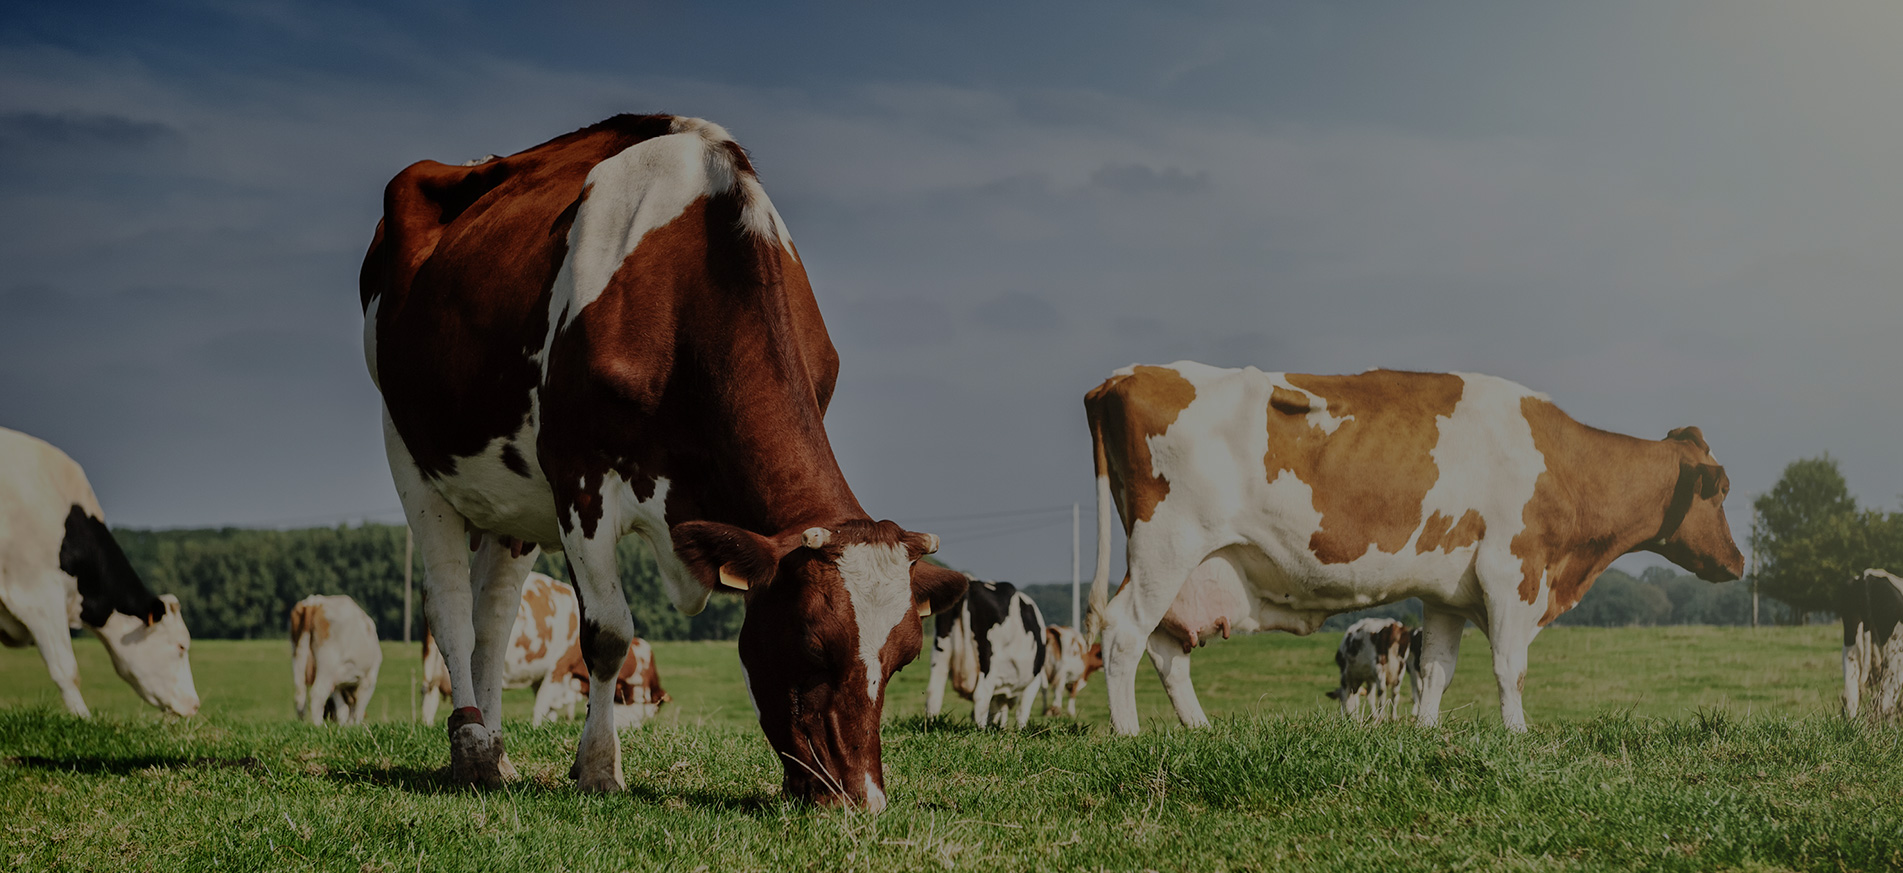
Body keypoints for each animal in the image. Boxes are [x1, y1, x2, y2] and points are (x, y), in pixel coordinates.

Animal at [289, 595, 382, 725]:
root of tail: (315, 602)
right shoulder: (369, 680)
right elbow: (358, 710)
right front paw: (354, 726)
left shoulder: (337, 683)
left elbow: (343, 709)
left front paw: (344, 726)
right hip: (327, 662)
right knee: (317, 694)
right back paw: (318, 725)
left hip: (298, 655)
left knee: (299, 696)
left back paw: (302, 724)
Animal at [420, 571, 579, 725]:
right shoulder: (557, 668)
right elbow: (540, 706)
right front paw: (537, 726)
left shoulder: (540, 677)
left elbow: (549, 710)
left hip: (430, 656)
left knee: (428, 694)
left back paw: (427, 724)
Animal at [925, 579, 1048, 728]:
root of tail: (971, 583)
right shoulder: (1034, 681)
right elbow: (1022, 711)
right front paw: (1020, 729)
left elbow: (996, 709)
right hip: (988, 660)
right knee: (981, 696)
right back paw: (981, 729)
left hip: (941, 654)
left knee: (934, 692)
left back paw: (930, 726)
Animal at [1083, 363, 1745, 735]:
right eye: (1721, 490)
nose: (1739, 561)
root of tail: (1128, 374)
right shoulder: (1512, 571)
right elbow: (1511, 667)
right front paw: (1518, 737)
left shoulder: (1449, 591)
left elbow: (1437, 671)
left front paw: (1426, 735)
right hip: (1165, 546)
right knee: (1123, 634)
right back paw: (1129, 736)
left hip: (1185, 565)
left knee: (1166, 648)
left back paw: (1201, 731)